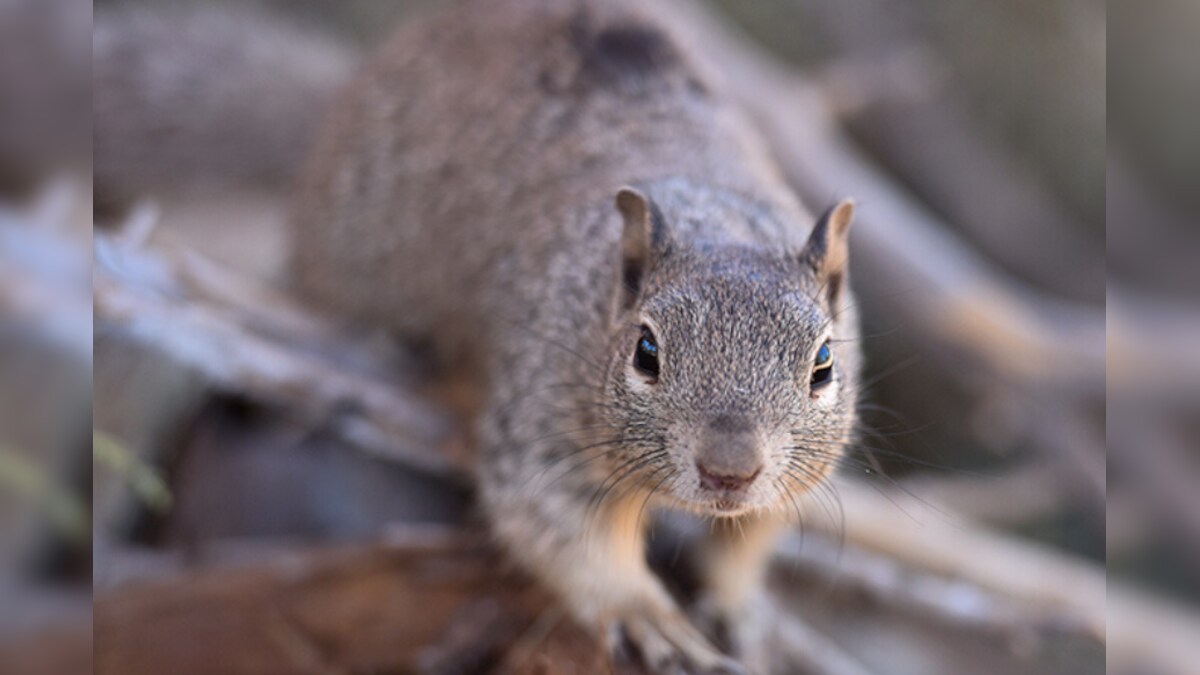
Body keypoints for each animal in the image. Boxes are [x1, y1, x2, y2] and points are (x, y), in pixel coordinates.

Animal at [291, 0, 861, 671]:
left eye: (823, 364)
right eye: (646, 352)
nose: (730, 471)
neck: (714, 219)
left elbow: (752, 536)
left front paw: (734, 604)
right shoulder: (541, 427)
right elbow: (566, 529)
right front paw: (647, 615)